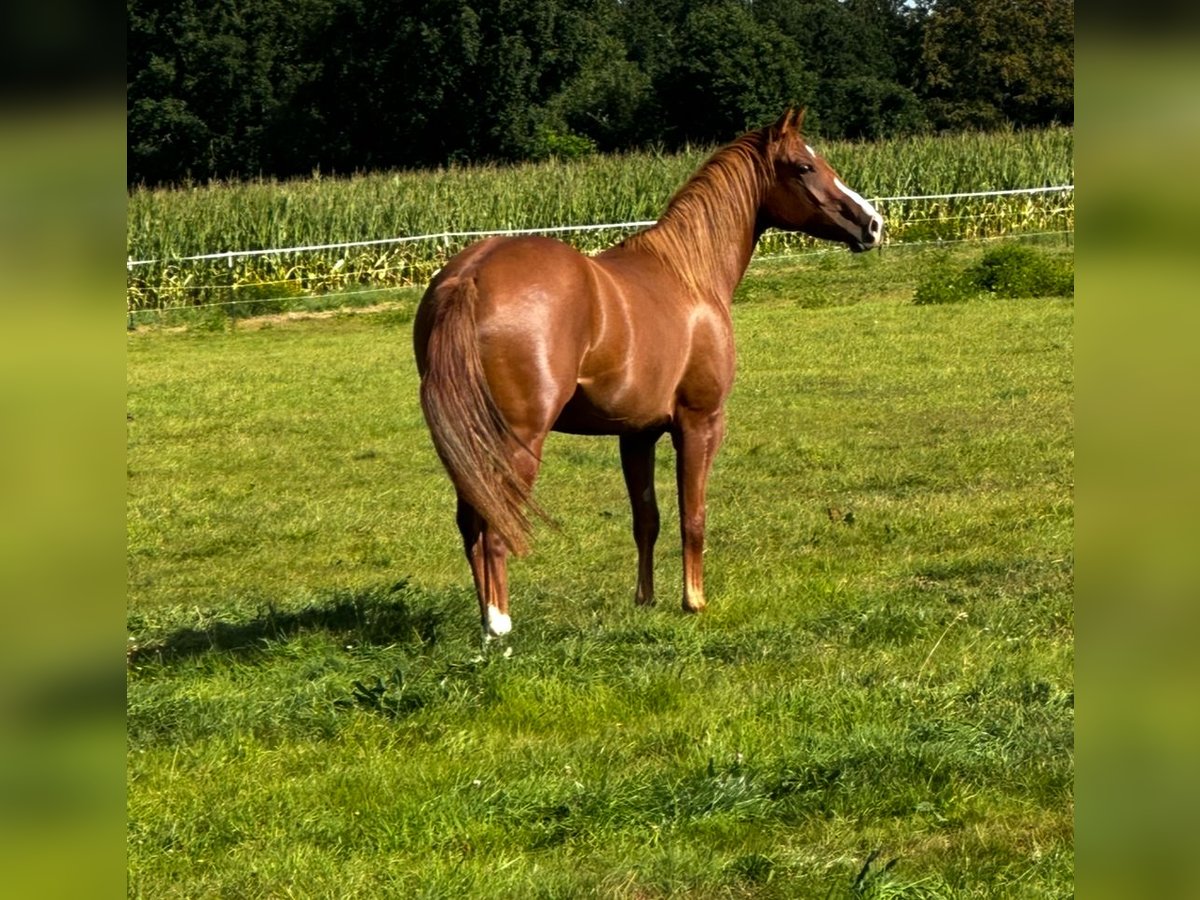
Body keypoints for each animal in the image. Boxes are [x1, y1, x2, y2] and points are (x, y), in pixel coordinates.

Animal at [413, 109, 882, 640]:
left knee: (470, 523)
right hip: (516, 441)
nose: (873, 223)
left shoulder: (635, 435)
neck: (688, 275)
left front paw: (645, 600)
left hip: (469, 440)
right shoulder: (699, 424)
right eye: (804, 166)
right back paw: (500, 626)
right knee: (495, 526)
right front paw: (694, 601)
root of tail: (470, 275)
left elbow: (647, 519)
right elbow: (692, 516)